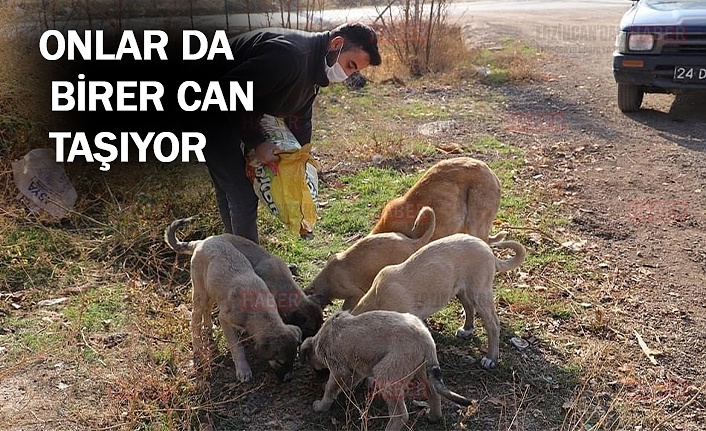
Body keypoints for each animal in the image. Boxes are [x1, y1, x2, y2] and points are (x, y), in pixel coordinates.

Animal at [164, 224, 300, 384]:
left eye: (293, 358)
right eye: (280, 362)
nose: (288, 379)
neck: (259, 309)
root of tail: (202, 241)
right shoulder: (225, 319)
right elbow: (237, 347)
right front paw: (243, 370)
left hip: (212, 291)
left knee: (207, 310)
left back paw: (209, 329)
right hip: (200, 292)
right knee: (195, 320)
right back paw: (197, 348)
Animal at [300, 310, 470, 431]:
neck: (320, 338)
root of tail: (426, 340)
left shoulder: (338, 369)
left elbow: (330, 388)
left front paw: (322, 405)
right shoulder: (357, 368)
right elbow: (350, 381)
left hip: (387, 373)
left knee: (400, 415)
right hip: (422, 370)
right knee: (434, 393)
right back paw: (434, 416)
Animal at [350, 235, 524, 370]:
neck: (377, 299)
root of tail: (487, 248)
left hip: (479, 292)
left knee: (493, 324)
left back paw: (491, 359)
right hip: (462, 290)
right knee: (469, 308)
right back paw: (467, 329)